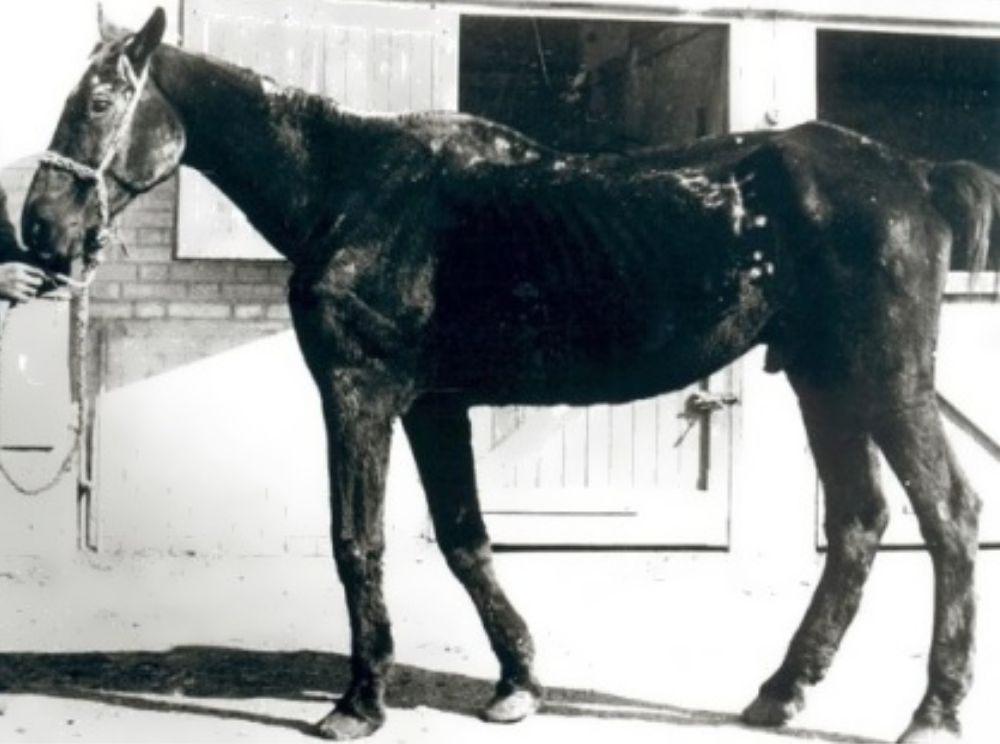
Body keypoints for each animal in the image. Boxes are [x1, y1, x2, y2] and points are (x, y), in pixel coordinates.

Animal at [20, 8, 999, 743]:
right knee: (860, 523)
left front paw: (359, 702)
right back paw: (781, 691)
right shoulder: (435, 406)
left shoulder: (359, 394)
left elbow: (357, 540)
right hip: (824, 381)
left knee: (948, 516)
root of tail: (913, 175)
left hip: (886, 380)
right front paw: (518, 682)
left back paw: (933, 711)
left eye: (100, 99)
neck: (359, 190)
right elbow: (466, 541)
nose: (38, 230)